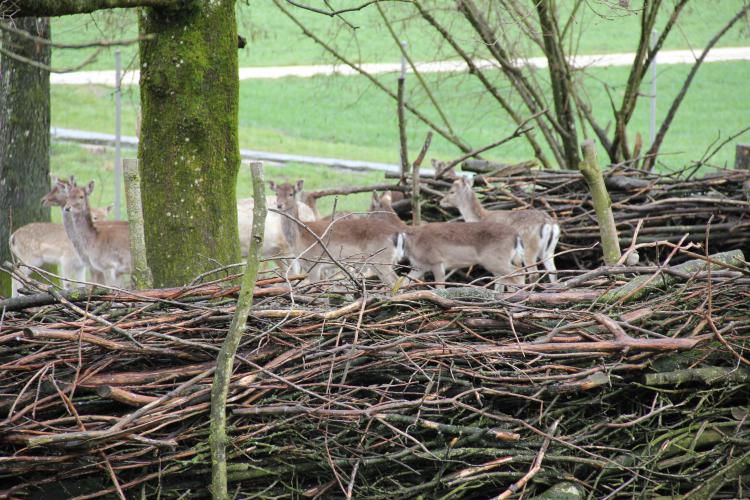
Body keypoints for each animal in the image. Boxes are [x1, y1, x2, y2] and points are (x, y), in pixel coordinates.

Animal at [268, 182, 400, 288]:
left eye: (291, 194)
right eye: (276, 193)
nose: (279, 205)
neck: (299, 237)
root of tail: (396, 233)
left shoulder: (314, 263)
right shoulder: (305, 265)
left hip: (382, 259)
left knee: (396, 280)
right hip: (378, 263)